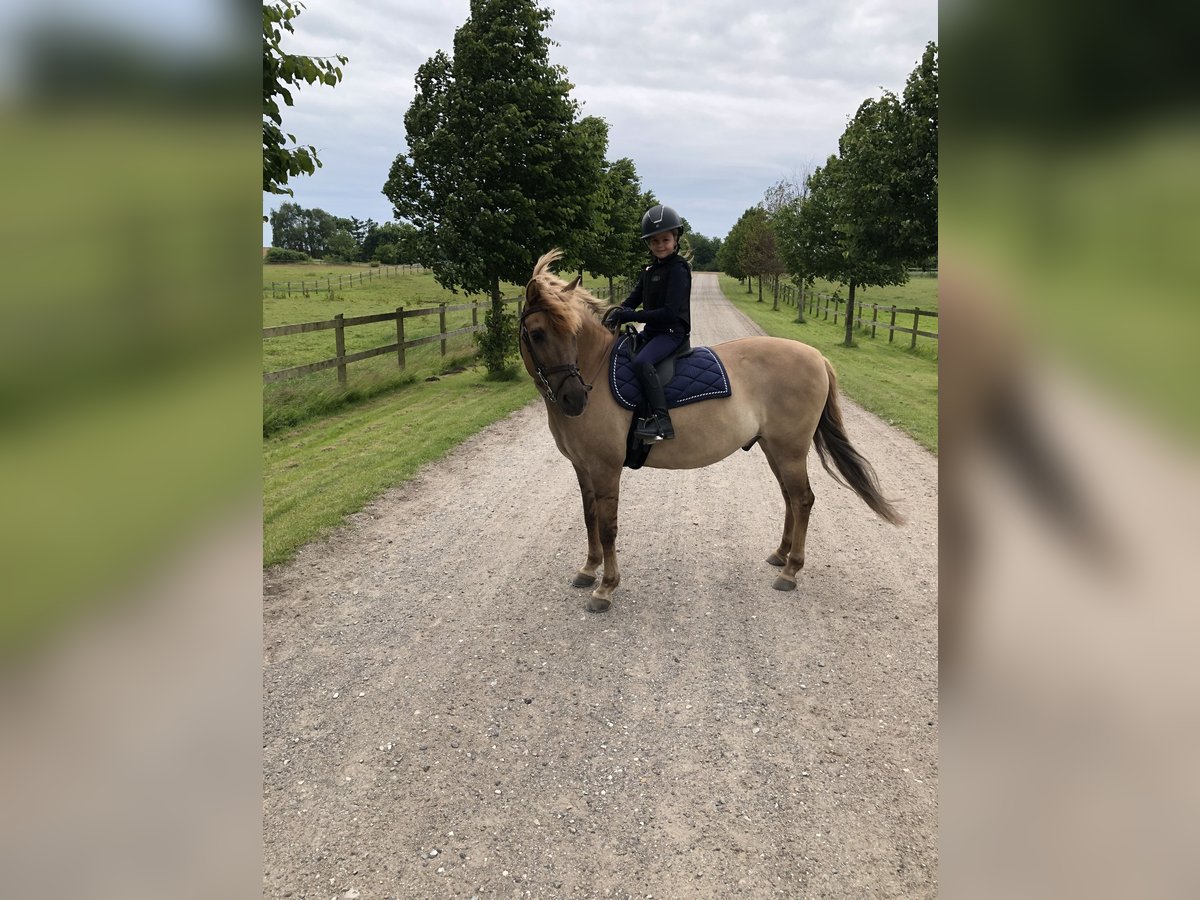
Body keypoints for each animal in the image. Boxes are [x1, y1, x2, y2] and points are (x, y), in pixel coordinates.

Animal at [518, 248, 902, 614]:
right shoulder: (582, 467)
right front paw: (588, 569)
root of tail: (817, 357)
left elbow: (608, 527)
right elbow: (590, 518)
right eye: (538, 334)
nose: (575, 399)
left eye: (572, 334)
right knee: (790, 498)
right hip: (774, 448)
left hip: (790, 450)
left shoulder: (605, 469)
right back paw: (781, 555)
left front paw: (606, 587)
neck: (597, 371)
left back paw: (791, 570)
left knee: (803, 499)